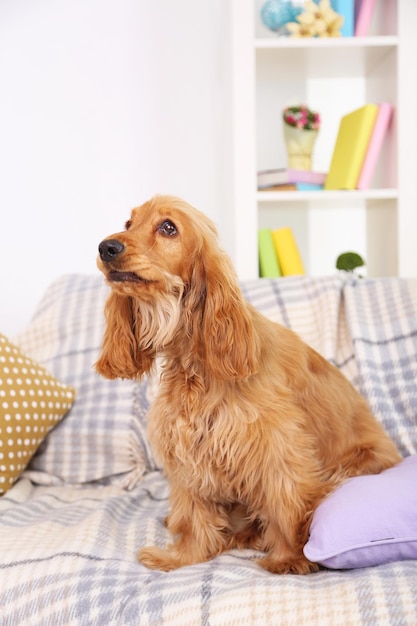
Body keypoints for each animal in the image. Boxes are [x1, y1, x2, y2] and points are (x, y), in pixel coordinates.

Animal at [95, 194, 400, 572]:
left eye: (168, 228)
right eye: (128, 223)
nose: (106, 247)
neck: (196, 364)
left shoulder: (276, 446)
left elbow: (284, 504)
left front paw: (289, 559)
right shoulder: (187, 447)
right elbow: (193, 513)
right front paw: (183, 557)